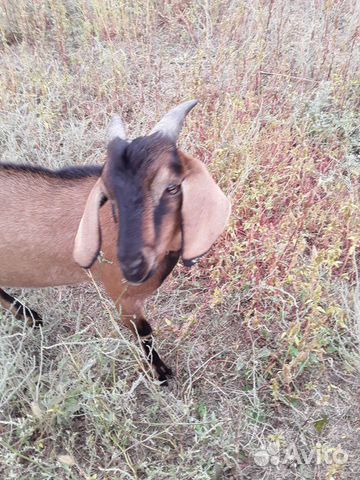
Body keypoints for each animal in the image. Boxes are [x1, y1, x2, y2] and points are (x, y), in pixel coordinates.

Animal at [0, 99, 231, 384]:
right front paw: (161, 374)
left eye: (172, 187)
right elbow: (144, 331)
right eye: (109, 195)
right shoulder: (122, 296)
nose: (132, 265)